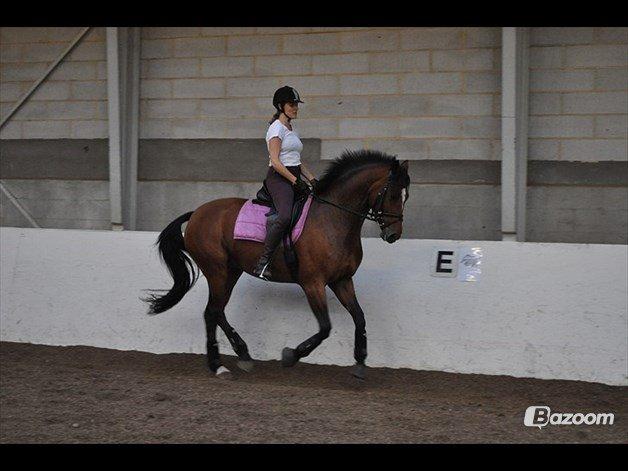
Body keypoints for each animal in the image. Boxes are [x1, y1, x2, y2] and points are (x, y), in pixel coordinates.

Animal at [146, 150, 412, 380]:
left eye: (406, 196)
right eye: (392, 195)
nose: (393, 235)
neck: (333, 219)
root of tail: (196, 213)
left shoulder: (342, 280)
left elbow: (360, 318)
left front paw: (360, 362)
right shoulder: (313, 283)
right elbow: (325, 327)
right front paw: (291, 355)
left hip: (231, 271)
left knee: (216, 311)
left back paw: (239, 356)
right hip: (217, 271)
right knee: (212, 312)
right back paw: (219, 365)